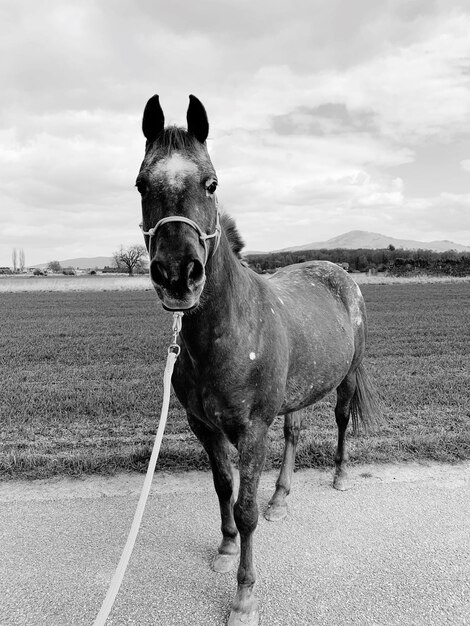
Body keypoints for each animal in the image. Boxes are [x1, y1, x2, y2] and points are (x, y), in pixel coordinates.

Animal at [135, 94, 378, 624]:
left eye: (211, 183)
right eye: (142, 184)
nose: (178, 274)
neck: (224, 333)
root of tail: (339, 273)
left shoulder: (251, 430)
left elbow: (245, 507)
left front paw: (245, 596)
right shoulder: (204, 426)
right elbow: (223, 488)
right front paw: (226, 550)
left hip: (346, 379)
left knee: (341, 420)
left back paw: (339, 476)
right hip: (295, 395)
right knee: (294, 433)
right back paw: (281, 499)